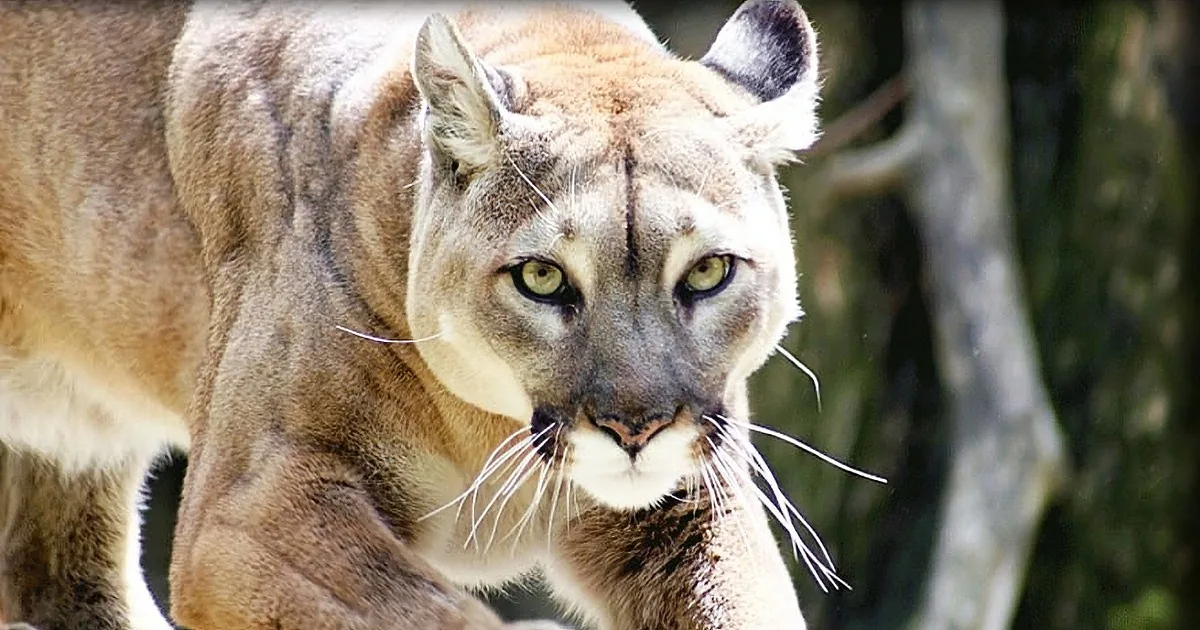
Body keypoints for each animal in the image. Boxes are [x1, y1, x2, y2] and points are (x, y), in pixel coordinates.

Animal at [0, 0, 831, 628]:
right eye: (541, 277)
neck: (487, 423)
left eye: (708, 272)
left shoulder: (691, 505)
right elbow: (425, 612)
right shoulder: (248, 508)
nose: (637, 429)